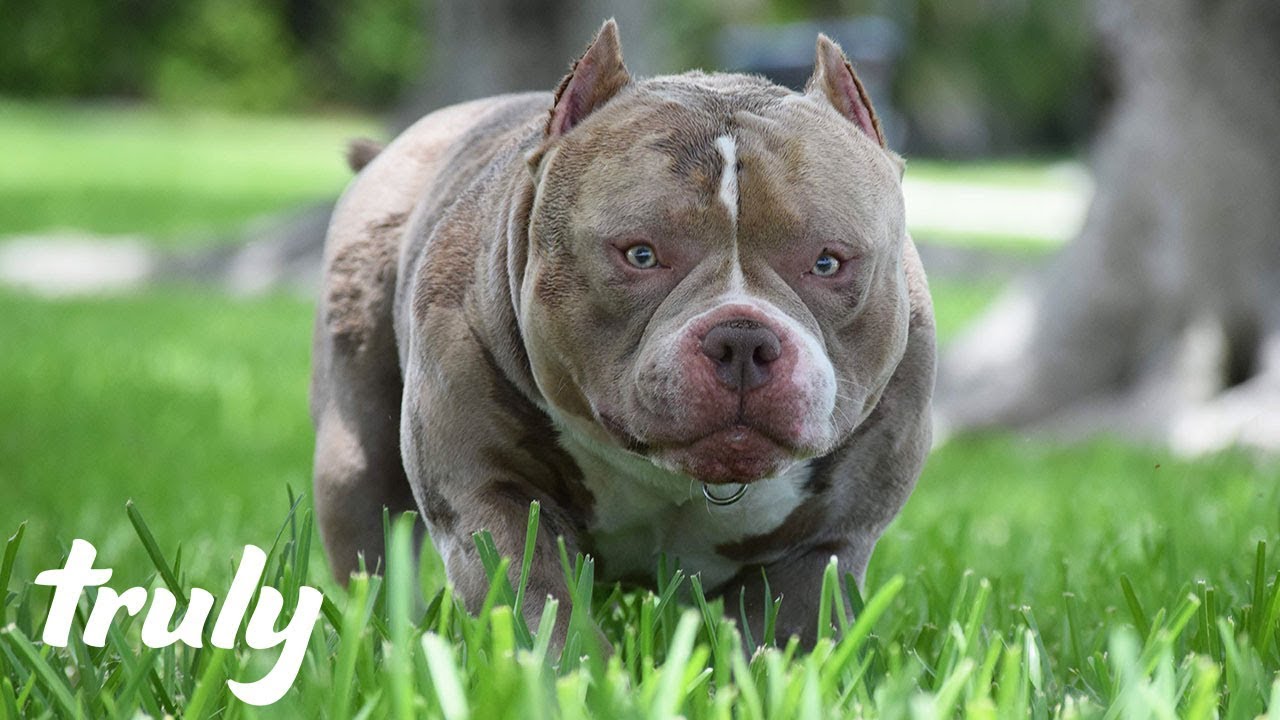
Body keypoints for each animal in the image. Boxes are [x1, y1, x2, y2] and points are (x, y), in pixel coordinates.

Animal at [309, 19, 931, 640]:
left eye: (827, 262)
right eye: (641, 255)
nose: (742, 339)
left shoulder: (823, 547)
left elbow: (787, 635)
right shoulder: (490, 496)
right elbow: (540, 606)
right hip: (353, 450)